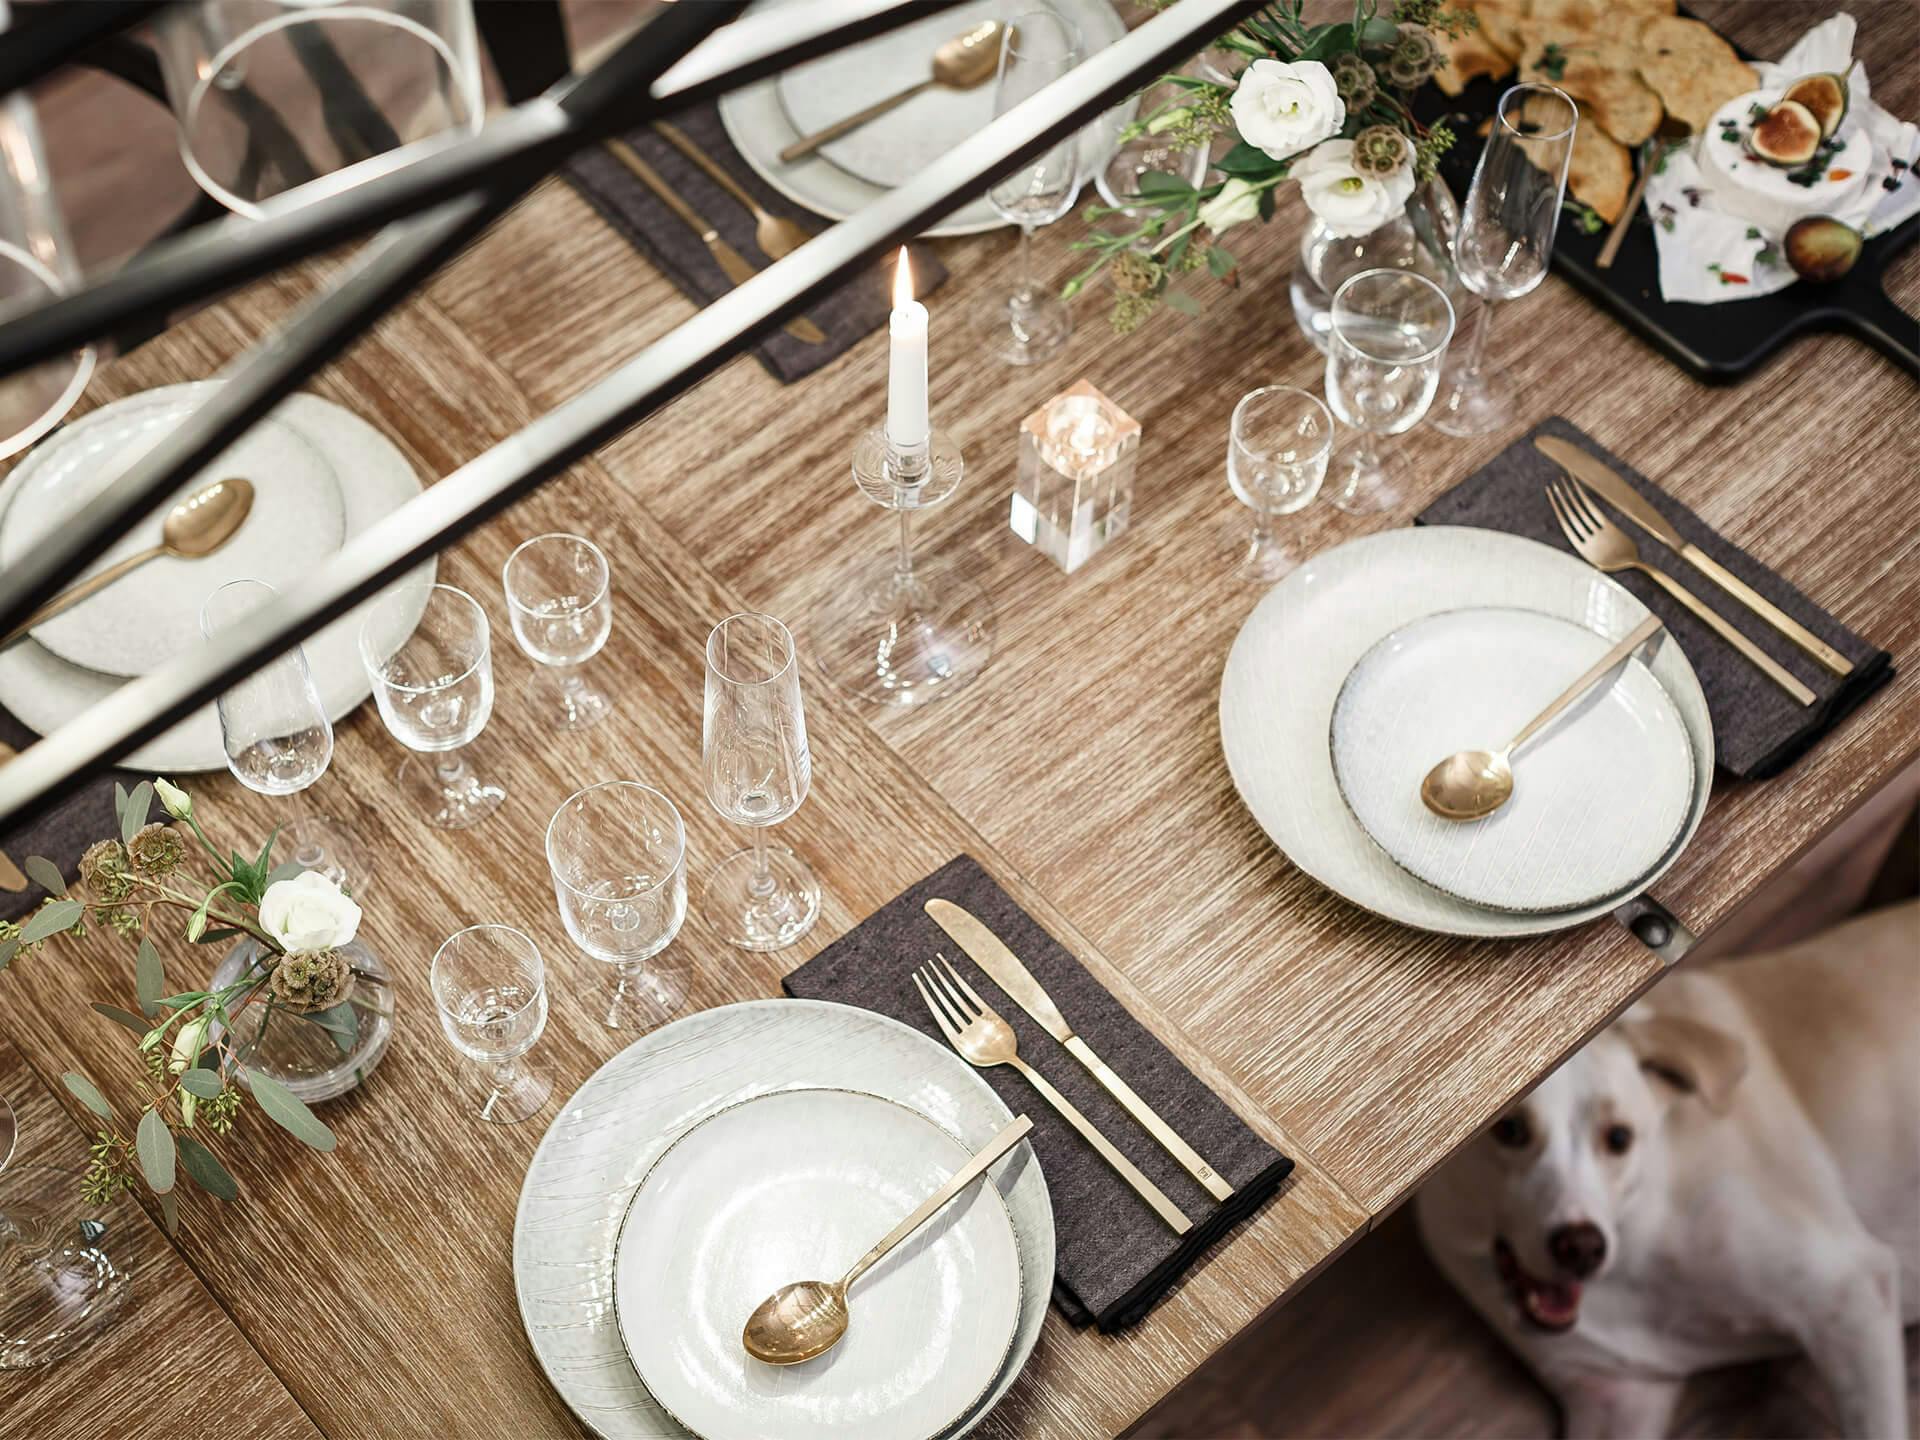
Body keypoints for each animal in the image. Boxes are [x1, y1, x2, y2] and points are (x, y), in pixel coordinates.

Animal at [1420, 906, 1912, 1436]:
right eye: (1509, 1130)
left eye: (1619, 1138)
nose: (1582, 1248)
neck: (1636, 1237)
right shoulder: (1619, 1395)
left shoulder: (1848, 1292)